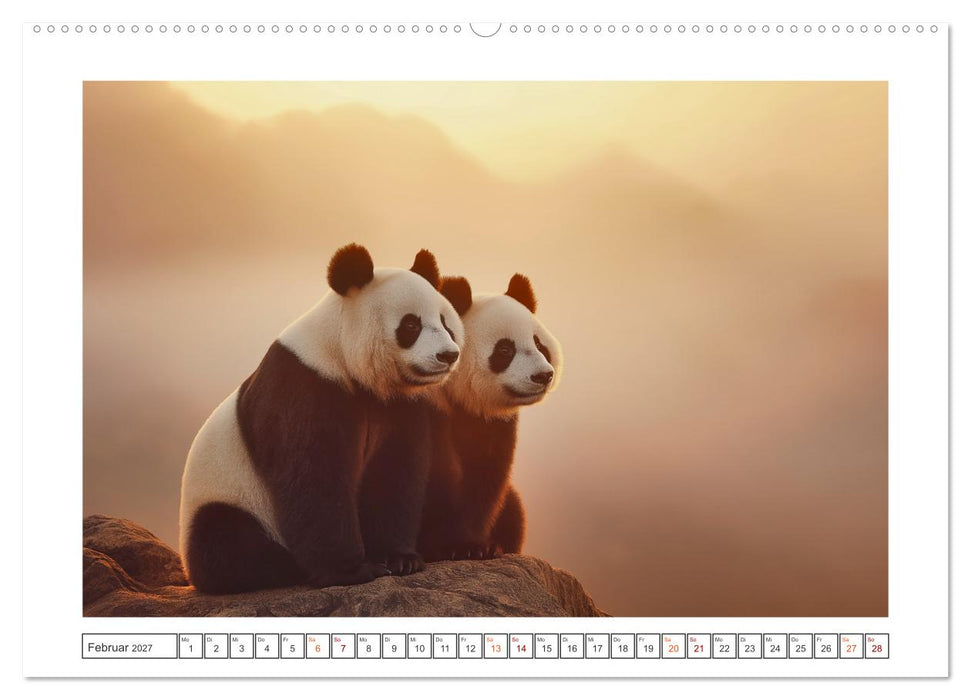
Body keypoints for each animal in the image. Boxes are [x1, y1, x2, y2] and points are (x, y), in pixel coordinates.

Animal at [178, 244, 465, 594]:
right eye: (411, 325)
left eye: (445, 322)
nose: (448, 355)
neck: (341, 355)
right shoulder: (305, 386)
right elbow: (313, 476)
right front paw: (350, 570)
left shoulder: (396, 406)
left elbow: (394, 471)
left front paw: (399, 559)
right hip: (230, 496)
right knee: (228, 541)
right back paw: (283, 566)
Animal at [418, 273, 563, 561]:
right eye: (505, 349)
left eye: (539, 344)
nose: (543, 376)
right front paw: (448, 547)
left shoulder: (492, 423)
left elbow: (485, 478)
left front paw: (474, 546)